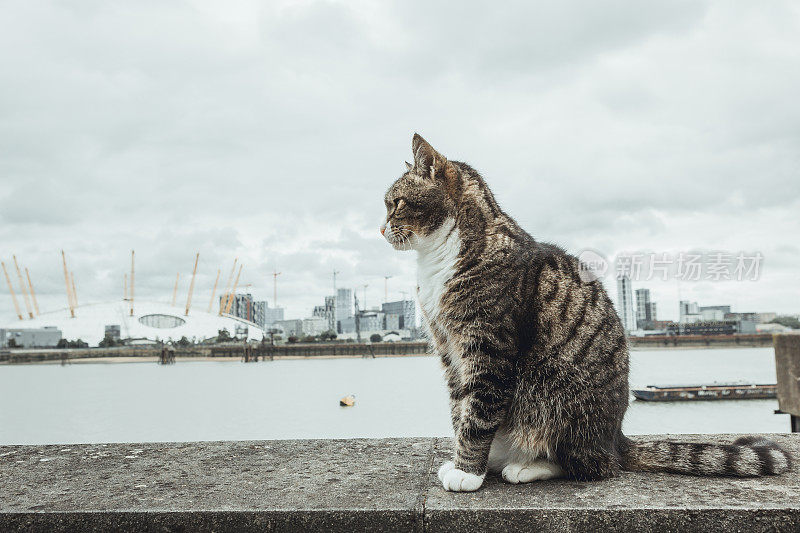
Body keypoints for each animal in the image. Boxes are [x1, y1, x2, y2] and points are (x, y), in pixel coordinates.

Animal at [384, 133, 792, 490]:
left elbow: (478, 415)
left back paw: (529, 466)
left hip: (551, 396)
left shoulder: (489, 348)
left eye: (396, 203)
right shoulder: (449, 349)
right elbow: (460, 409)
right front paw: (462, 462)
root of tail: (614, 437)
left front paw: (468, 472)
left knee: (590, 465)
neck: (439, 257)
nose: (381, 229)